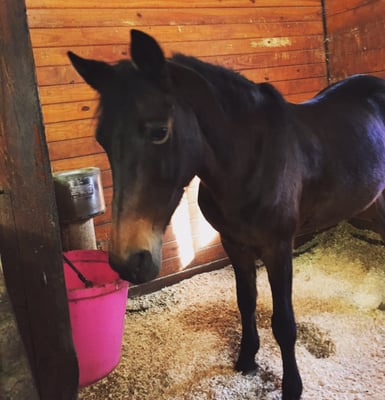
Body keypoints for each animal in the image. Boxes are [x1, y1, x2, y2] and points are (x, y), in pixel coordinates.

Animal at [67, 29, 384, 398]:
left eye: (159, 131)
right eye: (102, 139)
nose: (127, 262)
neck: (251, 162)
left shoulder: (278, 248)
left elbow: (284, 323)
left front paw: (292, 386)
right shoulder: (234, 243)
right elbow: (245, 302)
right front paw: (246, 359)